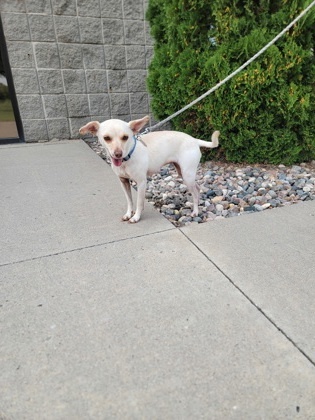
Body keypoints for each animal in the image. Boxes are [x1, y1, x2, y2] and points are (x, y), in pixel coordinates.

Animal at [79, 115, 220, 223]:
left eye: (125, 137)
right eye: (106, 138)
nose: (118, 154)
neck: (128, 156)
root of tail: (194, 140)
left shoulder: (141, 183)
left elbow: (139, 202)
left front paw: (136, 217)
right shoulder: (123, 182)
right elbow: (129, 201)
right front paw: (129, 214)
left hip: (187, 175)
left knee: (195, 192)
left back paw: (195, 211)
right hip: (183, 172)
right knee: (197, 188)